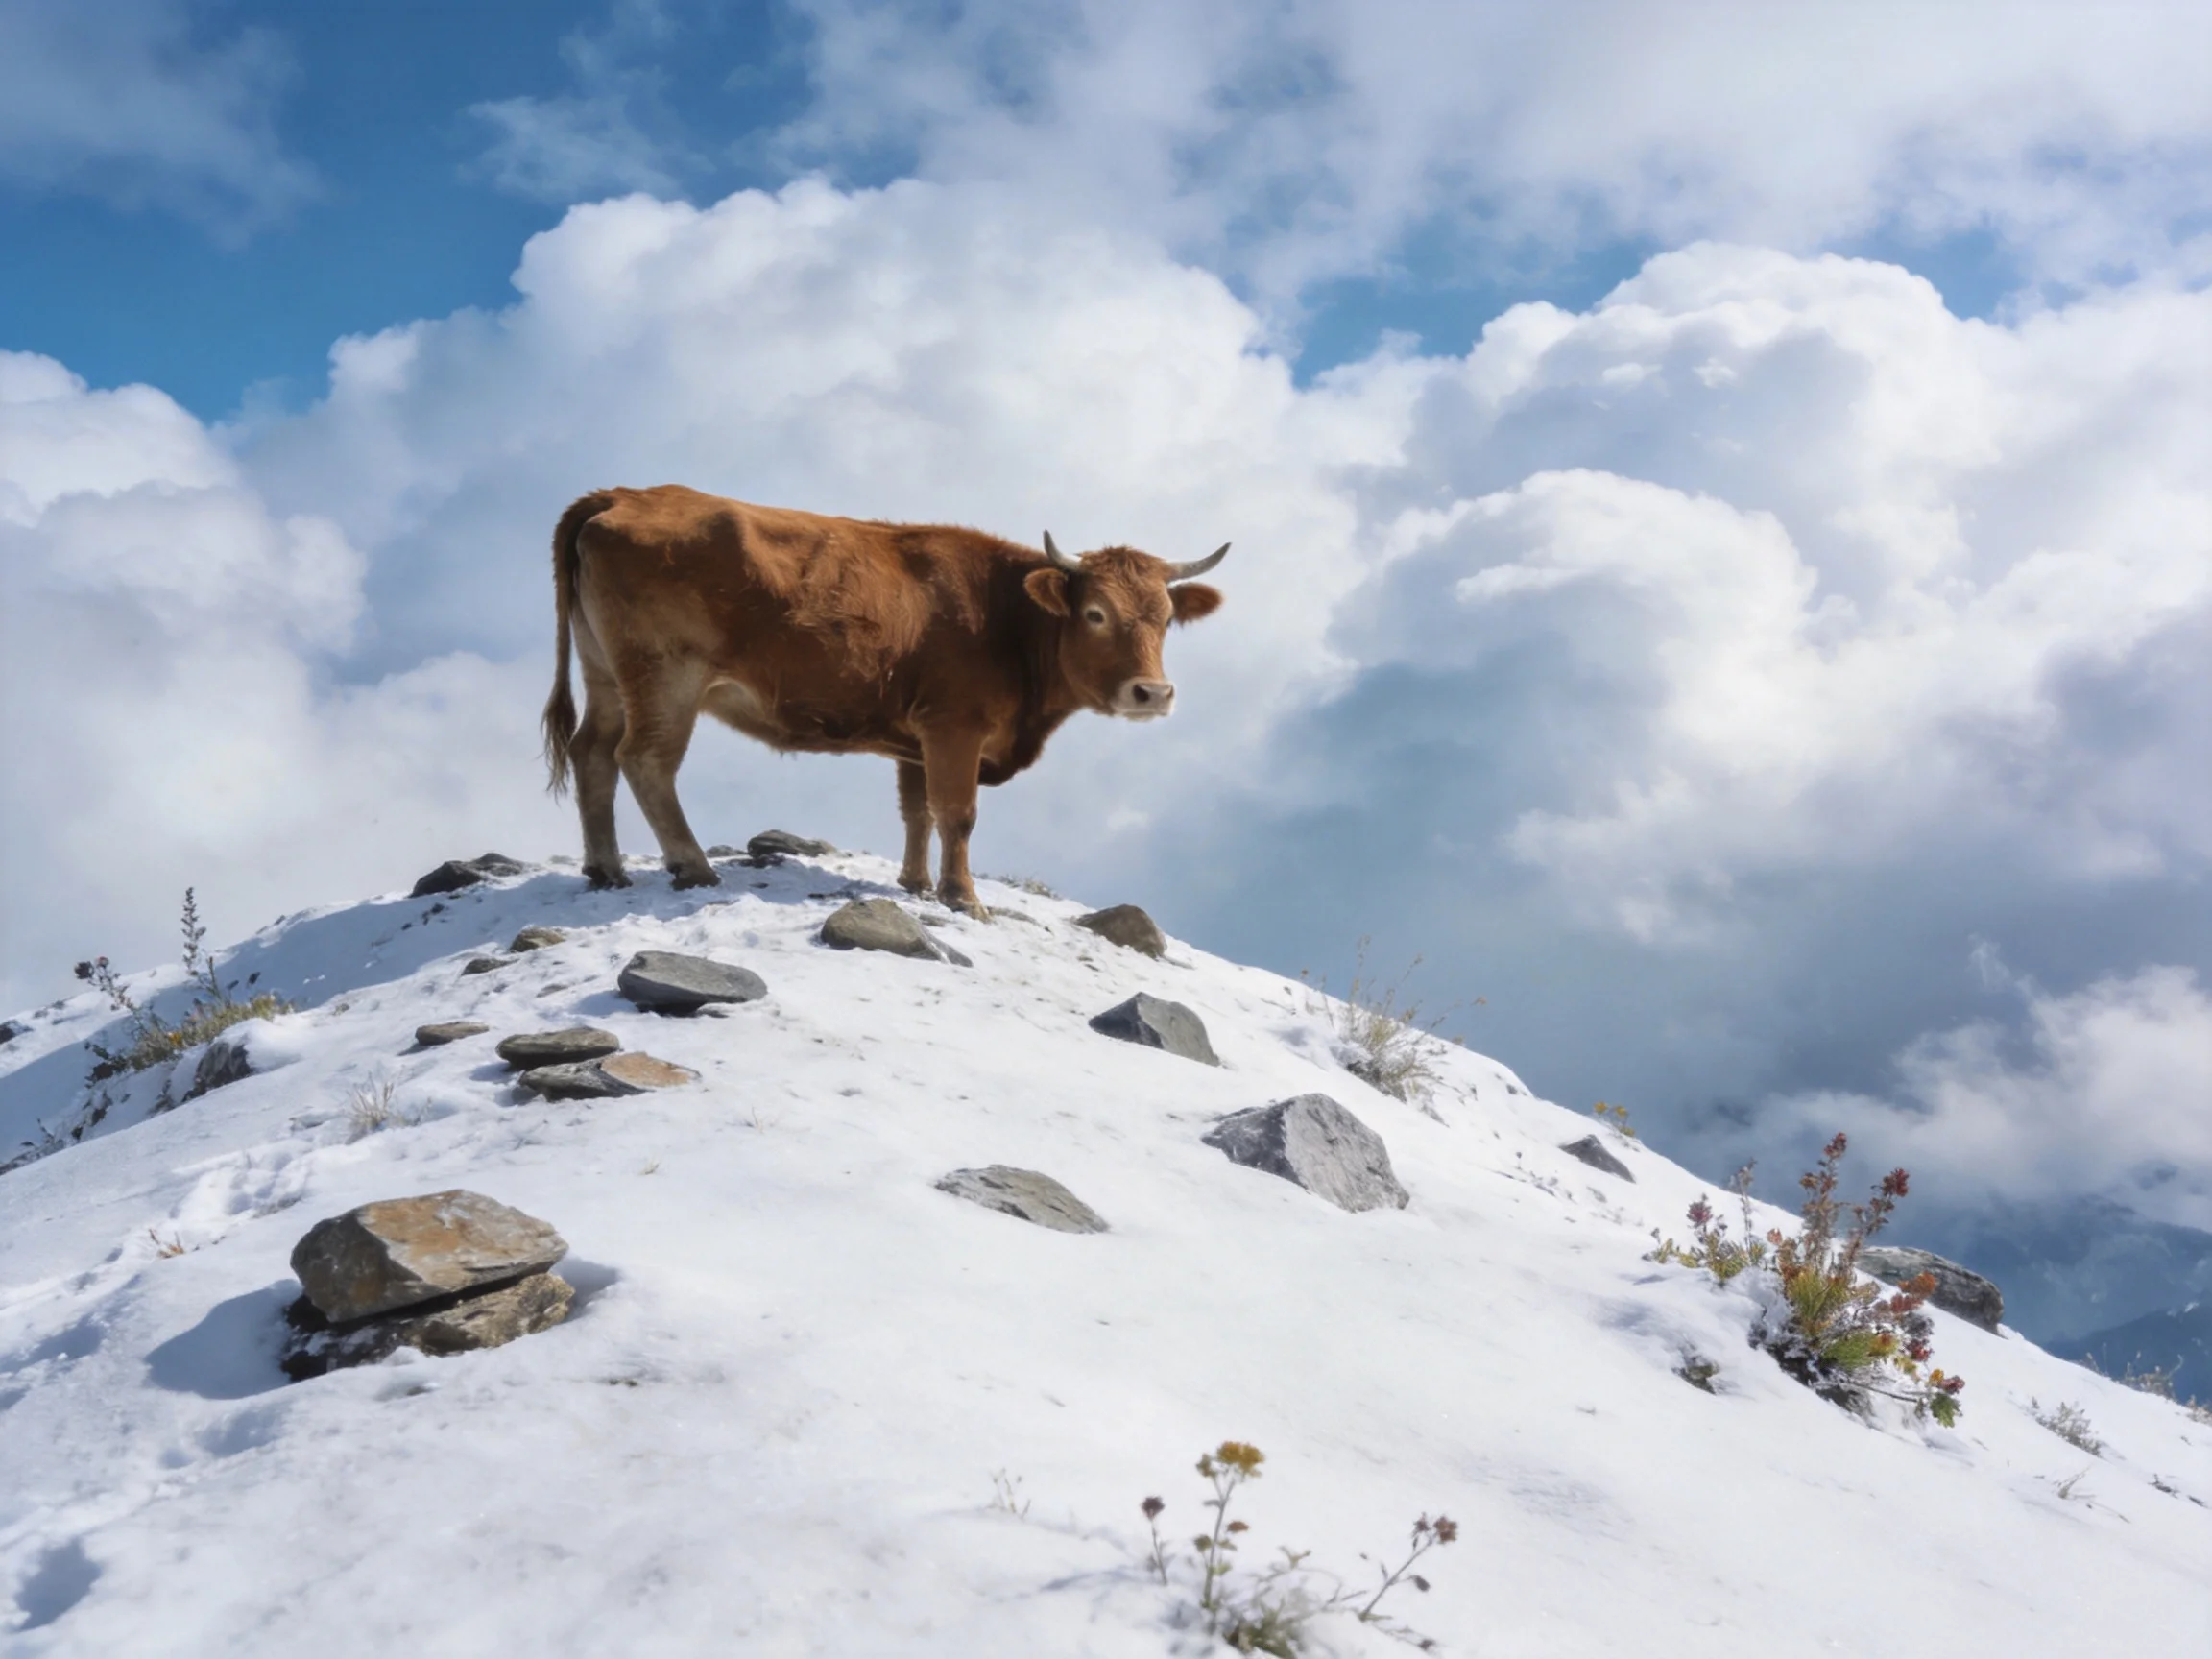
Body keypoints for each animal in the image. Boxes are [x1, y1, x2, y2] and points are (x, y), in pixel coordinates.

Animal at [540, 485, 1228, 915]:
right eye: (1094, 613)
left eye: (1166, 618)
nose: (1152, 692)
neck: (1006, 614)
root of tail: (623, 494)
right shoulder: (954, 726)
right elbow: (957, 813)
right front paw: (963, 897)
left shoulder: (915, 738)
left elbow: (916, 812)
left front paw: (917, 885)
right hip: (666, 679)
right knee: (646, 761)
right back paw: (693, 866)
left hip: (607, 676)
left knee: (593, 752)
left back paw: (605, 869)